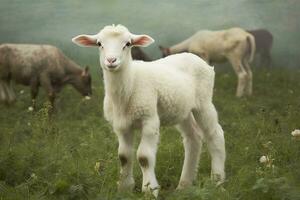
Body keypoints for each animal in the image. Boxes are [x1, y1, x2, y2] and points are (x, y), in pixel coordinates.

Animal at [72, 24, 225, 197]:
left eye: (128, 44)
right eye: (99, 44)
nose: (111, 61)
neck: (131, 83)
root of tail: (195, 58)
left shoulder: (149, 119)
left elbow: (144, 157)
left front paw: (149, 190)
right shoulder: (121, 126)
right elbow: (124, 156)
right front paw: (124, 189)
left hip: (203, 102)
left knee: (215, 134)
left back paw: (217, 181)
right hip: (182, 109)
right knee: (193, 138)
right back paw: (184, 185)